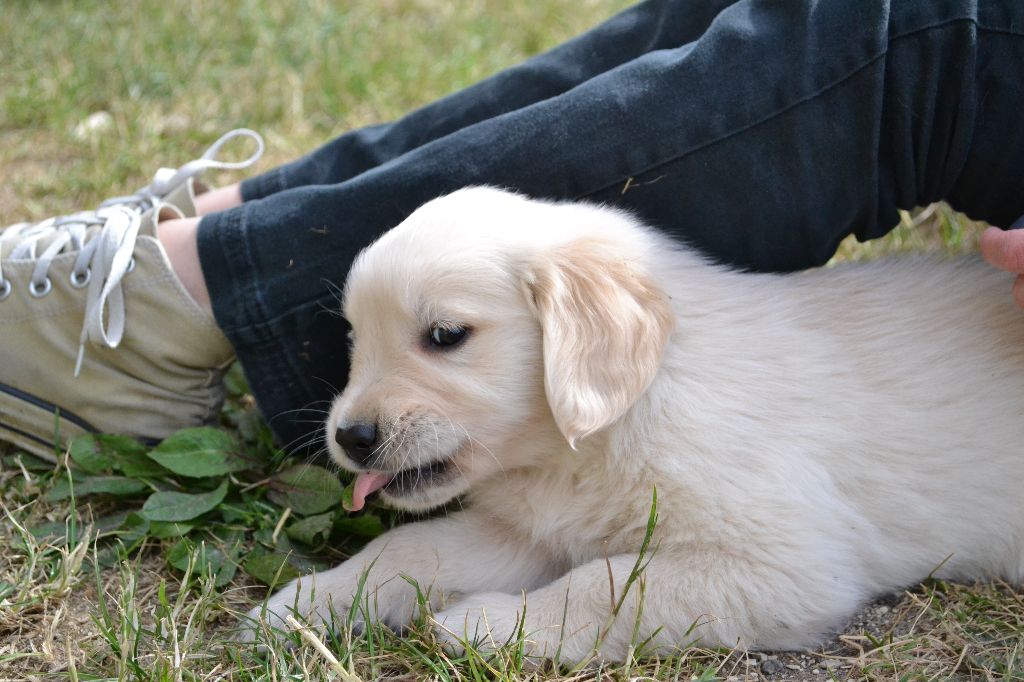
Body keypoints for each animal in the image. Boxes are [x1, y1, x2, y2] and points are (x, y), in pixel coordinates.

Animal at [245, 184, 1024, 659]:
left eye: (445, 335)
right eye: (354, 337)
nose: (350, 438)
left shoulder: (788, 566)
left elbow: (611, 585)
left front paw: (490, 624)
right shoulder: (530, 530)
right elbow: (409, 549)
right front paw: (306, 604)